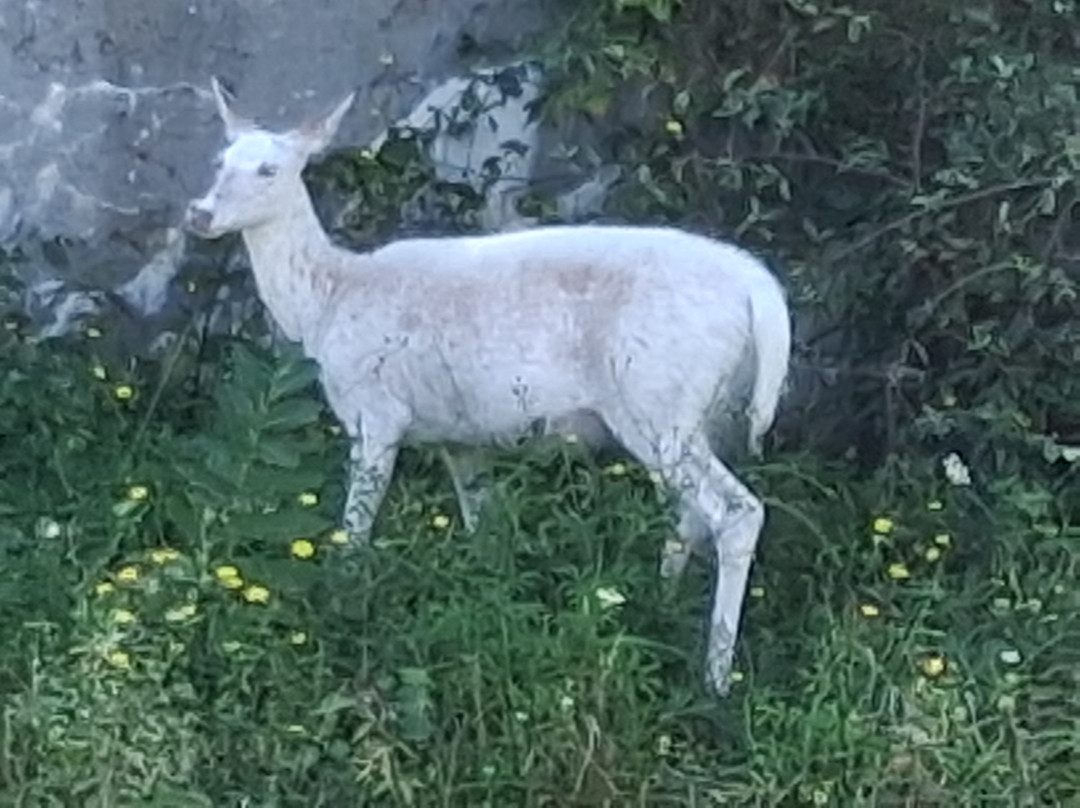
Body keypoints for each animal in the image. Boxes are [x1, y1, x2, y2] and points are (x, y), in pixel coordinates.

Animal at [184, 78, 791, 694]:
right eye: (220, 160)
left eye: (269, 169)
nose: (200, 213)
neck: (327, 302)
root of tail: (762, 296)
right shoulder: (458, 435)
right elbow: (482, 522)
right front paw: (486, 603)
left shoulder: (375, 410)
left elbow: (354, 528)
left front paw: (342, 602)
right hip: (706, 409)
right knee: (691, 512)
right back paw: (661, 604)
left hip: (659, 398)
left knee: (737, 512)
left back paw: (715, 677)